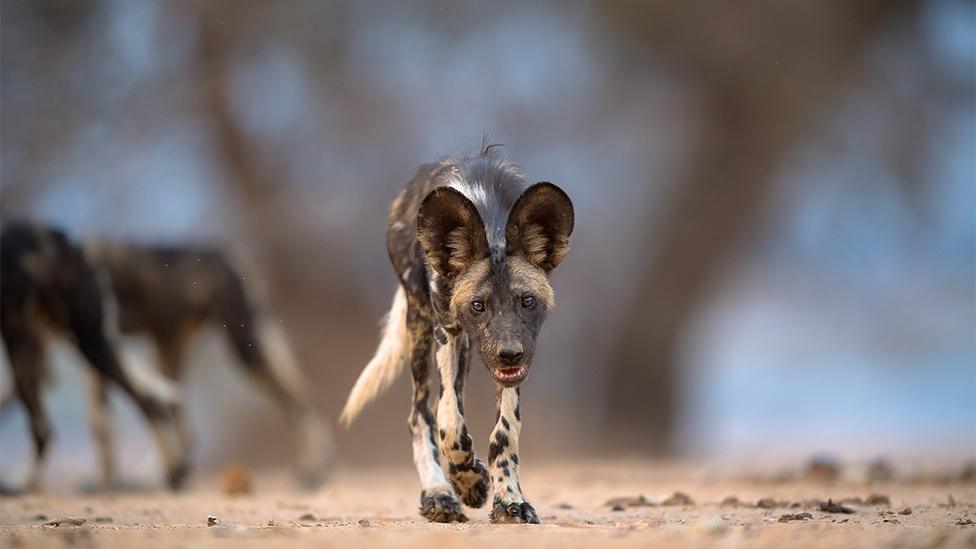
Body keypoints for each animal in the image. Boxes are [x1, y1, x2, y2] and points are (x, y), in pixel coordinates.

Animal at [342, 144, 572, 524]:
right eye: (478, 305)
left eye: (527, 301)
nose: (509, 353)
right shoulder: (446, 330)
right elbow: (449, 422)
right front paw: (468, 480)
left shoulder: (513, 365)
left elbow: (504, 434)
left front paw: (510, 501)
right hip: (421, 328)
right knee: (421, 414)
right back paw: (439, 493)